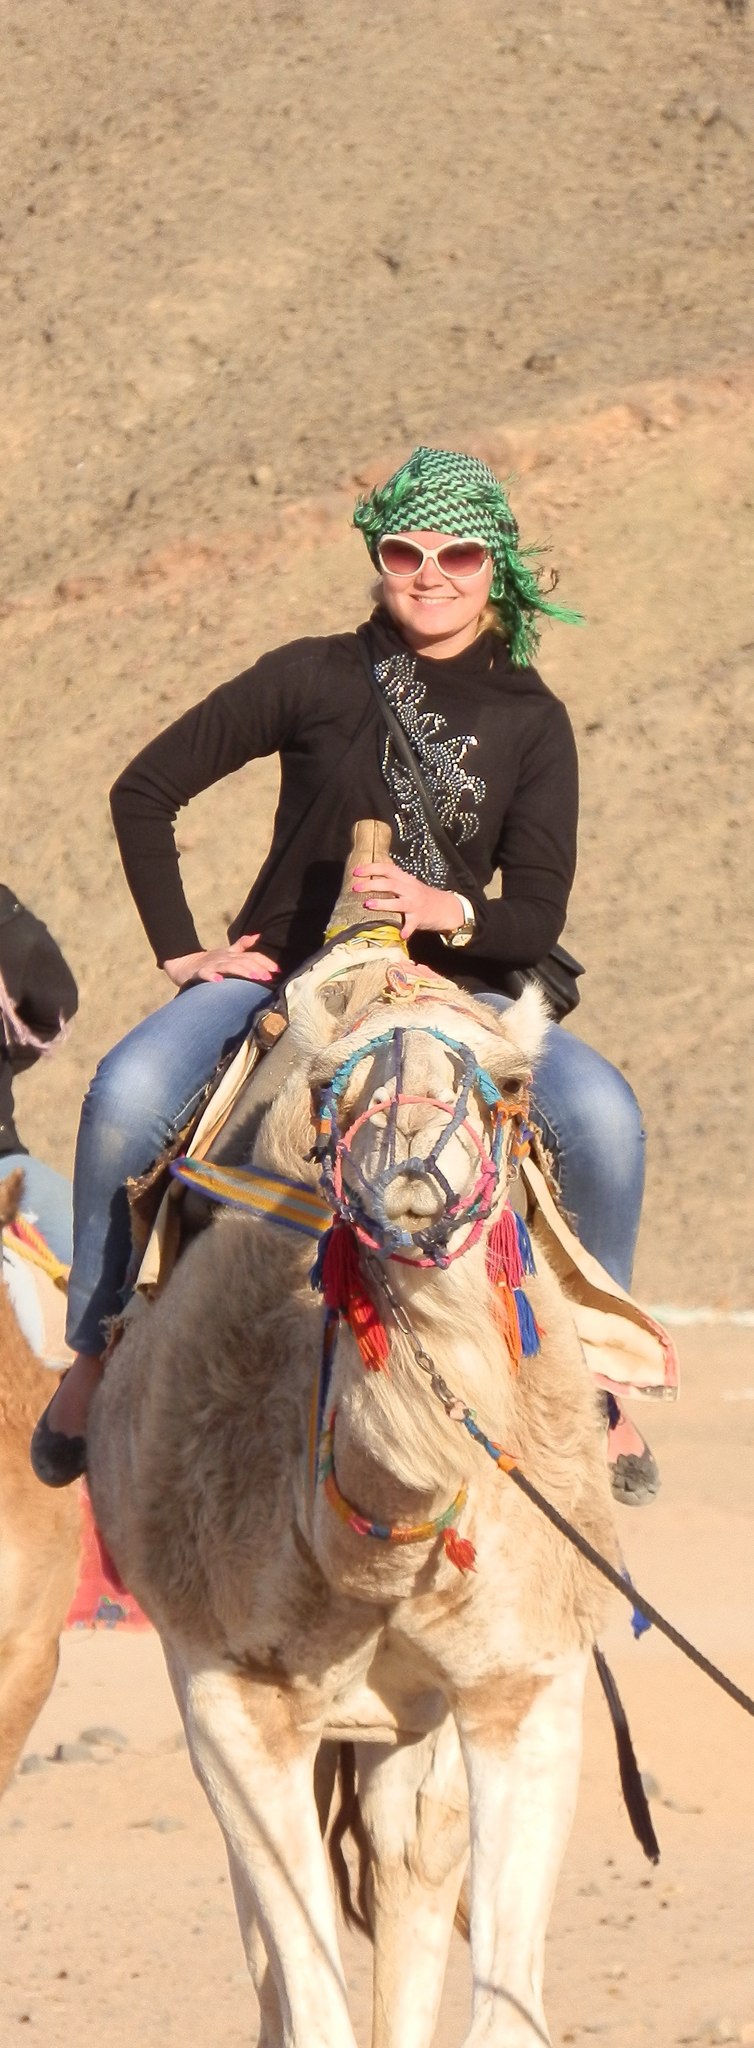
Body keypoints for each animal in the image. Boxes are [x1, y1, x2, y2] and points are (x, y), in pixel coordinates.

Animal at [87, 827, 620, 2048]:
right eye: (334, 1082)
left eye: (510, 1085)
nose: (415, 1166)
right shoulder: (229, 1689)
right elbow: (302, 1983)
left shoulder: (527, 1678)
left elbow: (502, 1995)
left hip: (413, 1715)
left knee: (410, 1858)